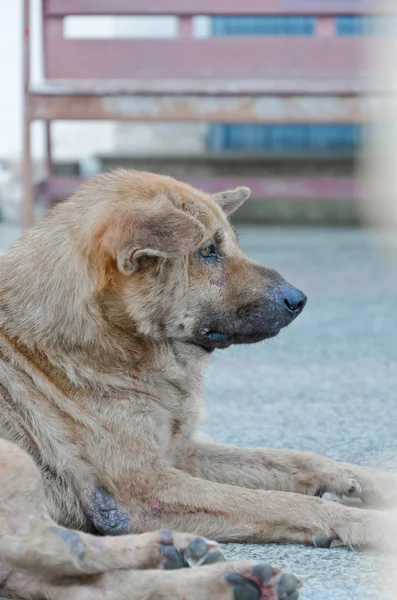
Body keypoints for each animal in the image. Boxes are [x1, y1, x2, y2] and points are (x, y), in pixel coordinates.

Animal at [0, 169, 394, 596]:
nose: (299, 300)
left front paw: (369, 480)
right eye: (207, 252)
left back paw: (220, 572)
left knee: (86, 581)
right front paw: (364, 522)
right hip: (19, 462)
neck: (107, 338)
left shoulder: (181, 453)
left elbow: (296, 458)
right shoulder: (149, 490)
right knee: (60, 550)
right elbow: (281, 501)